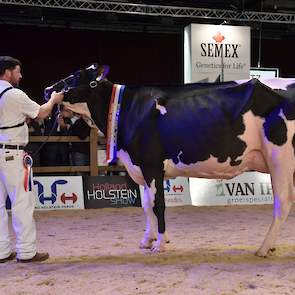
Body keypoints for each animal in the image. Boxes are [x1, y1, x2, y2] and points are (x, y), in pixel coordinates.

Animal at [46, 64, 295, 256]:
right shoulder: (140, 168)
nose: (47, 89)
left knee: (282, 203)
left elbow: (158, 205)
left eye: (76, 75)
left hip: (279, 159)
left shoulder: (151, 165)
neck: (127, 109)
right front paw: (148, 240)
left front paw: (160, 244)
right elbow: (146, 204)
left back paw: (263, 248)